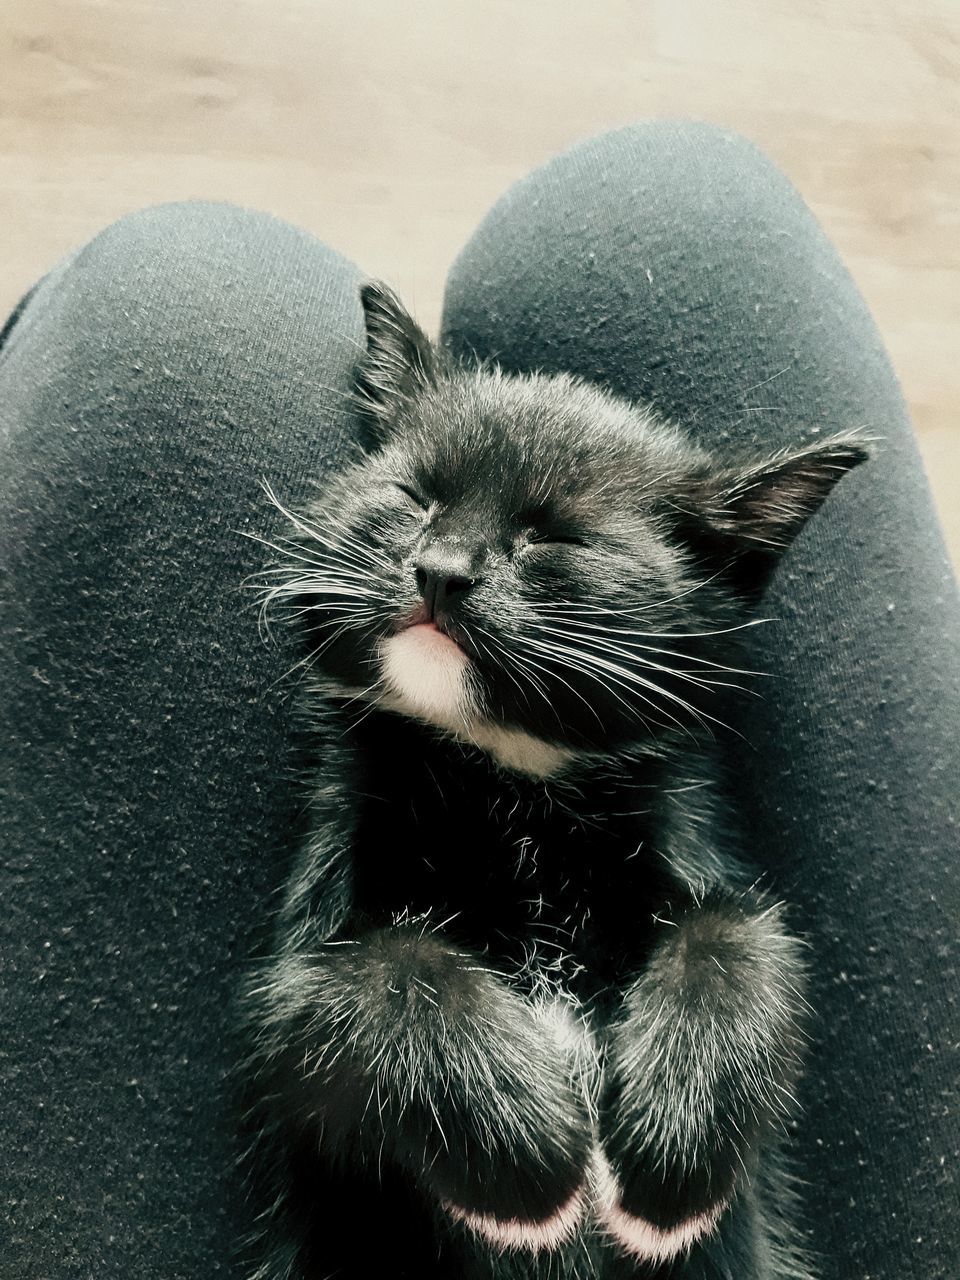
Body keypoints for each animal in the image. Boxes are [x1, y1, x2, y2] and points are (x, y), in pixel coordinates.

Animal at [236, 282, 870, 1280]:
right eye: (414, 496)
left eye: (555, 537)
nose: (440, 570)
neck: (513, 779)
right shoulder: (294, 969)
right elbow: (377, 975)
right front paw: (519, 1155)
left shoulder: (694, 842)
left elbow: (741, 944)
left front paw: (675, 1156)